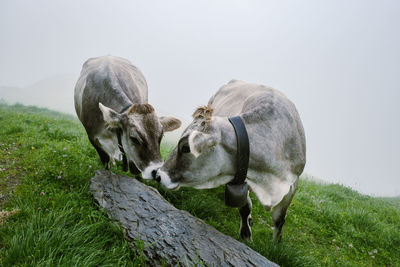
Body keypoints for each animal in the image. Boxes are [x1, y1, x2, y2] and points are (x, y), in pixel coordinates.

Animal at [155, 80, 304, 243]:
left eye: (185, 147)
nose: (158, 175)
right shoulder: (240, 174)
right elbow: (245, 207)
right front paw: (246, 235)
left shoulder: (293, 182)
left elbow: (279, 218)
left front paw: (276, 243)